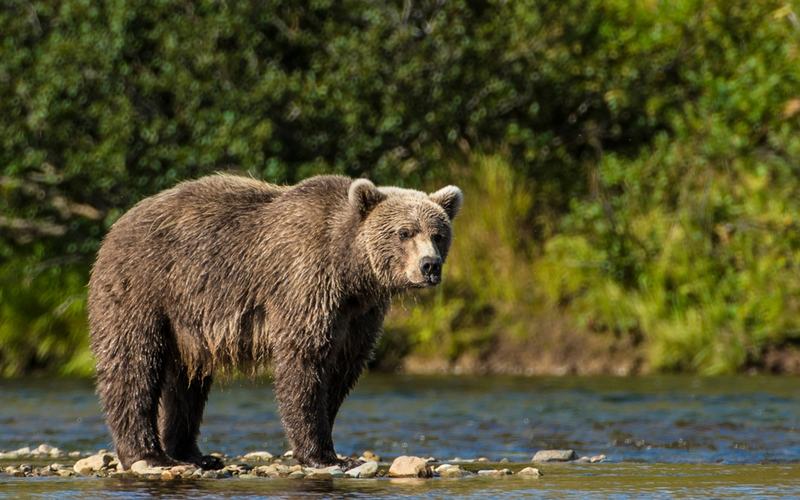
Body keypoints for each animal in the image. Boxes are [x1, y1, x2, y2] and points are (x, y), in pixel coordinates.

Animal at [87, 174, 462, 470]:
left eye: (438, 233)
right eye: (404, 232)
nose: (429, 266)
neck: (351, 272)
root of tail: (117, 225)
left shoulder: (359, 315)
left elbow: (342, 369)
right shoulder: (306, 284)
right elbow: (303, 363)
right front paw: (323, 455)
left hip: (187, 321)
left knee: (187, 383)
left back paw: (194, 454)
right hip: (146, 287)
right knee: (134, 364)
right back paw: (148, 454)